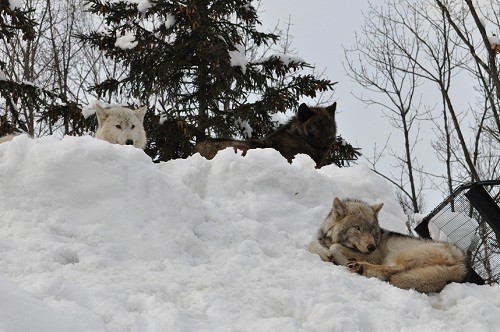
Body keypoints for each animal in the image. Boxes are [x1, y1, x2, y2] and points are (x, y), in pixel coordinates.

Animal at [308, 197, 468, 294]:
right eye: (357, 228)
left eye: (372, 228)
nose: (372, 247)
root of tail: (462, 262)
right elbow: (312, 244)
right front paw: (324, 253)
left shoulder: (375, 256)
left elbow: (335, 247)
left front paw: (338, 258)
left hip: (398, 255)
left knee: (393, 270)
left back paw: (360, 267)